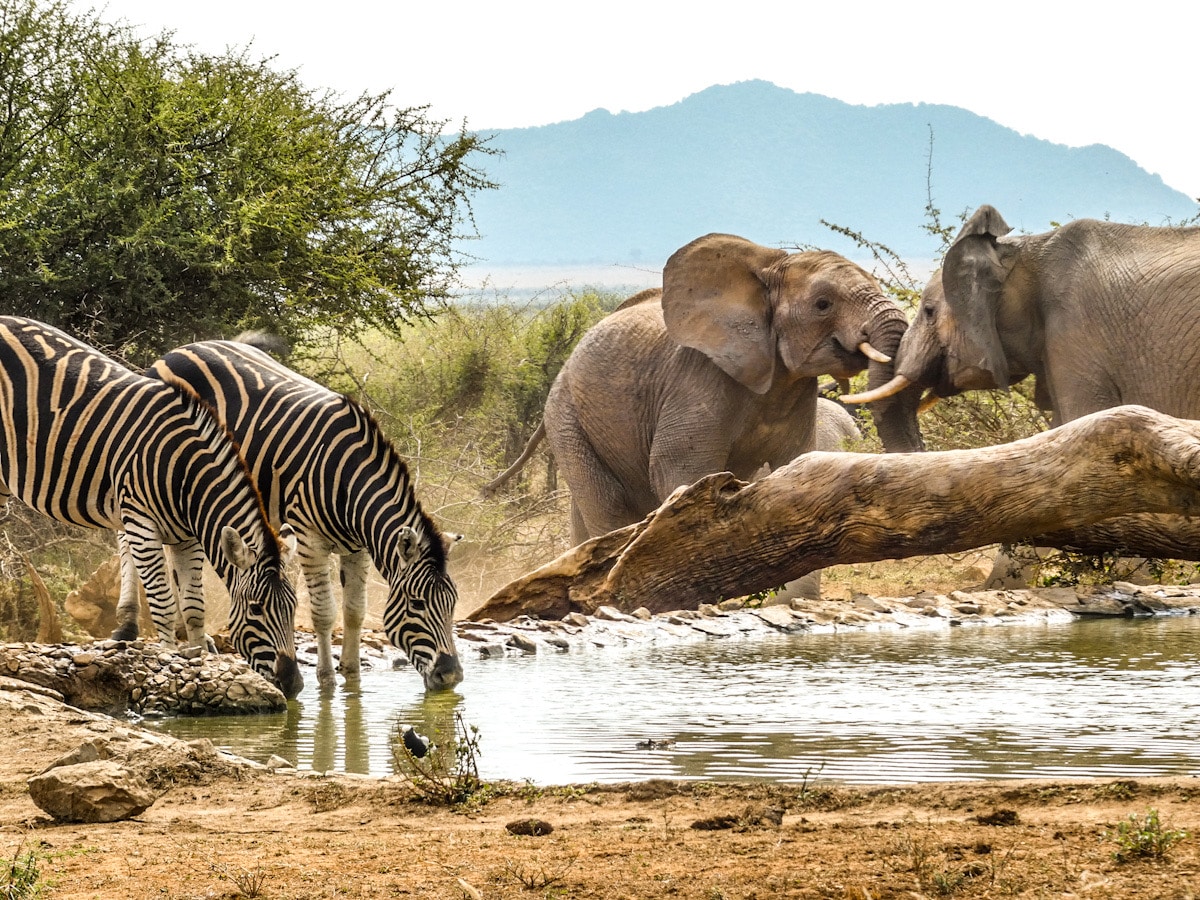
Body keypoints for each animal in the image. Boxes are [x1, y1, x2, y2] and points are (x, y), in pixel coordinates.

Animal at [0, 321, 304, 700]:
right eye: (256, 609)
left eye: (293, 608)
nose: (293, 685)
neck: (185, 472)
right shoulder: (142, 524)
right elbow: (163, 604)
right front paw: (167, 666)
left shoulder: (188, 537)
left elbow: (193, 606)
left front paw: (201, 662)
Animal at [148, 338, 463, 691]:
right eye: (418, 604)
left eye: (453, 603)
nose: (451, 676)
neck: (347, 478)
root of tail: (183, 348)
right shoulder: (311, 541)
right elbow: (324, 612)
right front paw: (327, 680)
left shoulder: (358, 547)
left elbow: (354, 610)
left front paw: (352, 675)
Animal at [540, 232, 921, 542]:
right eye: (823, 304)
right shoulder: (696, 380)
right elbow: (679, 475)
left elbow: (796, 470)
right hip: (566, 418)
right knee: (609, 506)